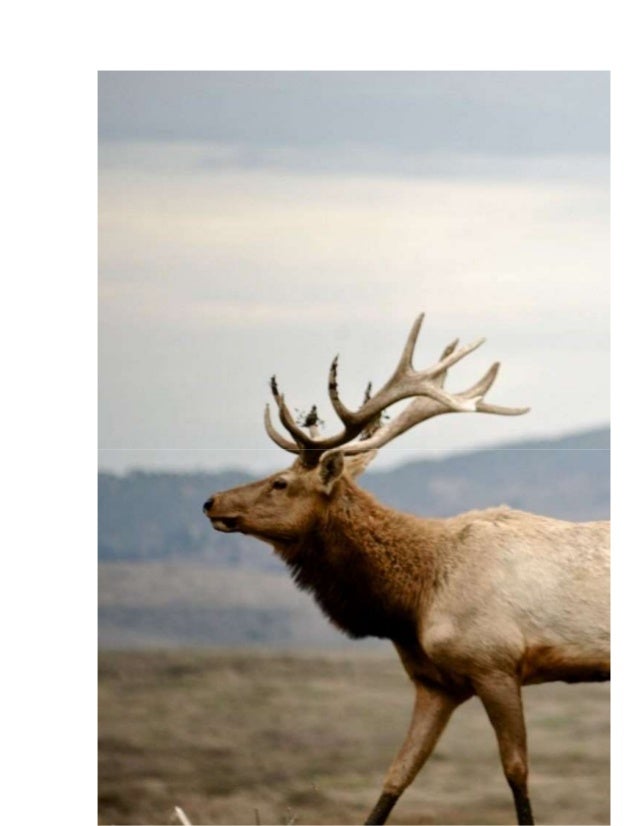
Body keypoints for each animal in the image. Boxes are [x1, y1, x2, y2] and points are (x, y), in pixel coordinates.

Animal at [202, 314, 610, 826]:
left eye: (281, 482)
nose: (211, 501)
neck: (412, 600)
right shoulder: (435, 683)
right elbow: (396, 776)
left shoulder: (495, 664)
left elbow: (516, 773)